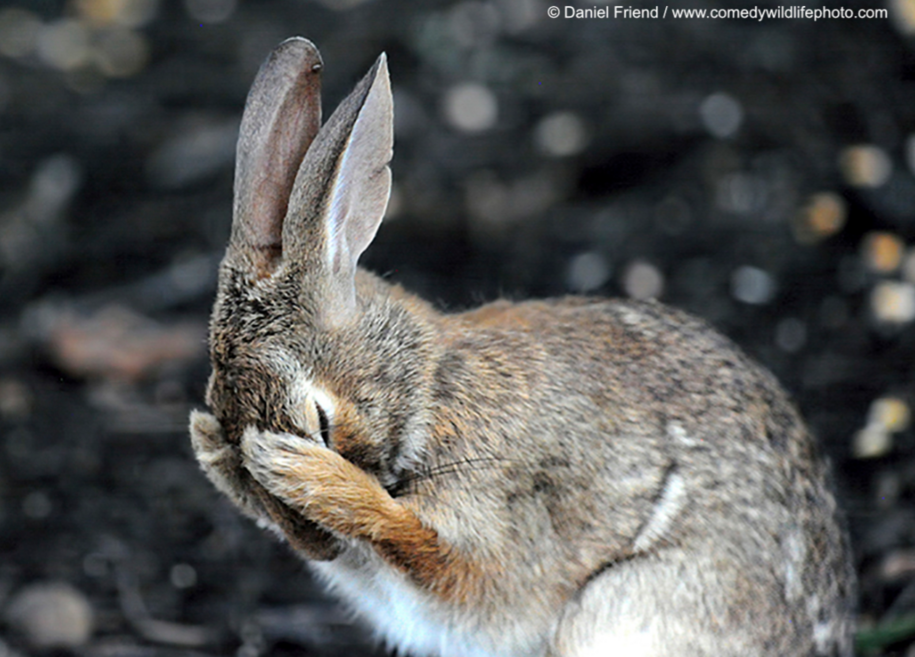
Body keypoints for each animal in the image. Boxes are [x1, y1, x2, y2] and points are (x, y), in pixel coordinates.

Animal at [191, 37, 860, 656]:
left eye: (320, 421)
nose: (318, 547)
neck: (428, 389)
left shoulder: (497, 521)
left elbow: (439, 555)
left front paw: (304, 473)